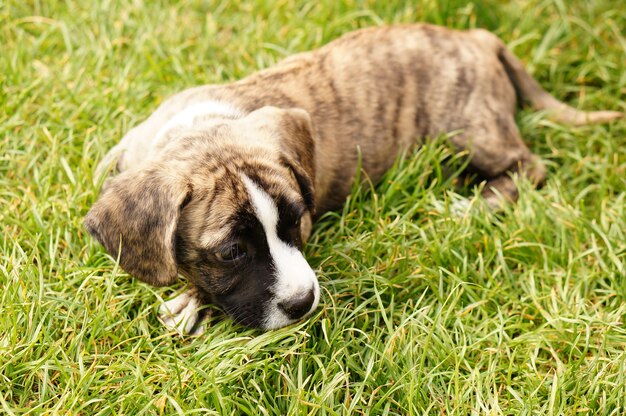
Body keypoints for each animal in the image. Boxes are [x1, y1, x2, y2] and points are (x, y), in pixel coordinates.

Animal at [84, 23, 620, 334]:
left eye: (297, 220)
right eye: (232, 252)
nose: (302, 303)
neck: (199, 129)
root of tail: (477, 37)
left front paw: (189, 303)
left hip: (470, 128)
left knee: (529, 167)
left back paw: (470, 205)